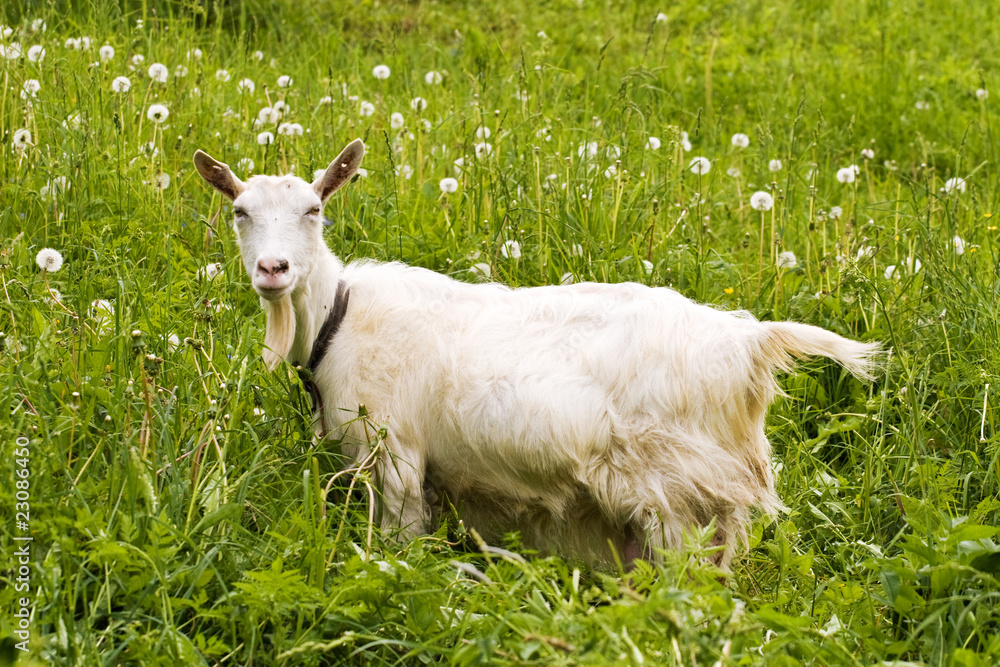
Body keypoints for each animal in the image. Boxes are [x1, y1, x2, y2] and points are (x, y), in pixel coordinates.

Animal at [193, 139, 880, 568]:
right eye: (239, 211)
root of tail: (745, 343)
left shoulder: (395, 457)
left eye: (314, 210)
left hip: (674, 493)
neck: (340, 318)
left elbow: (397, 548)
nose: (273, 269)